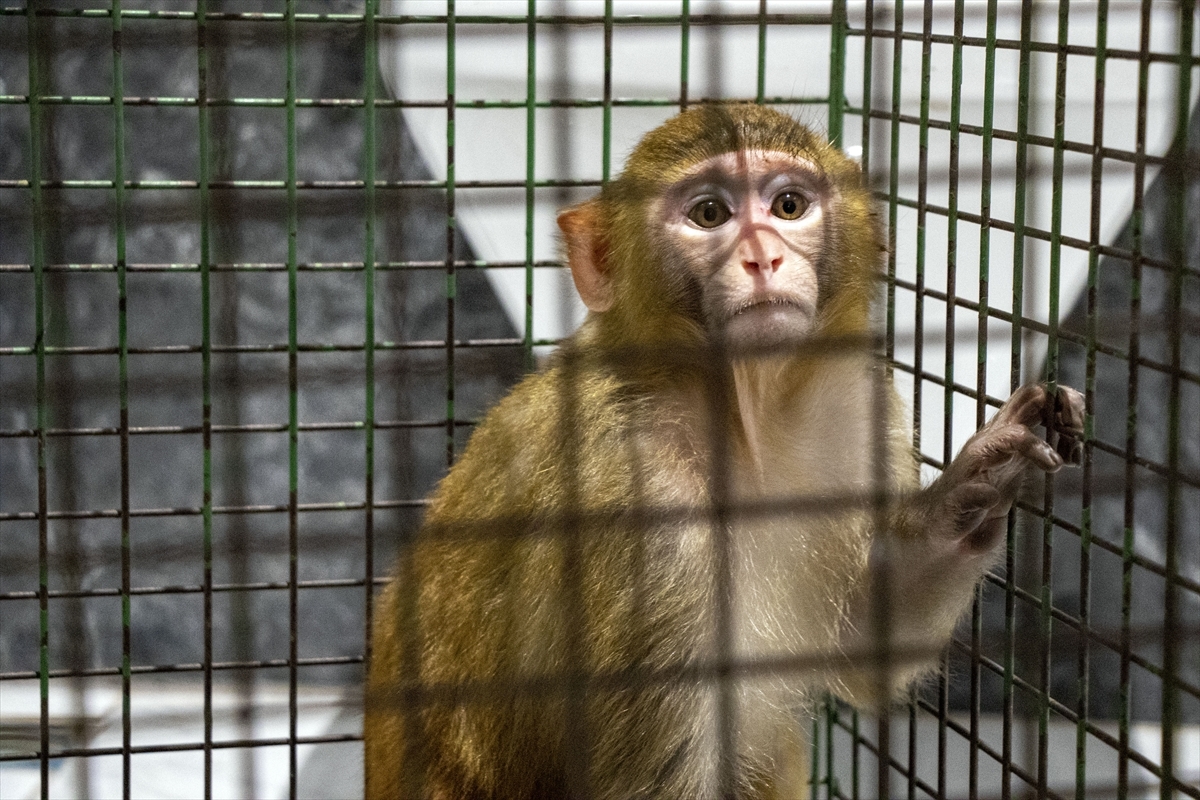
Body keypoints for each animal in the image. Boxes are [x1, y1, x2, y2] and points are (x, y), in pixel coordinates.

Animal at [360, 106, 1084, 800]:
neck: (737, 415)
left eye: (788, 205)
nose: (763, 258)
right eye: (710, 214)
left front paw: (980, 482)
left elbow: (860, 648)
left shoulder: (854, 409)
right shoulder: (636, 504)